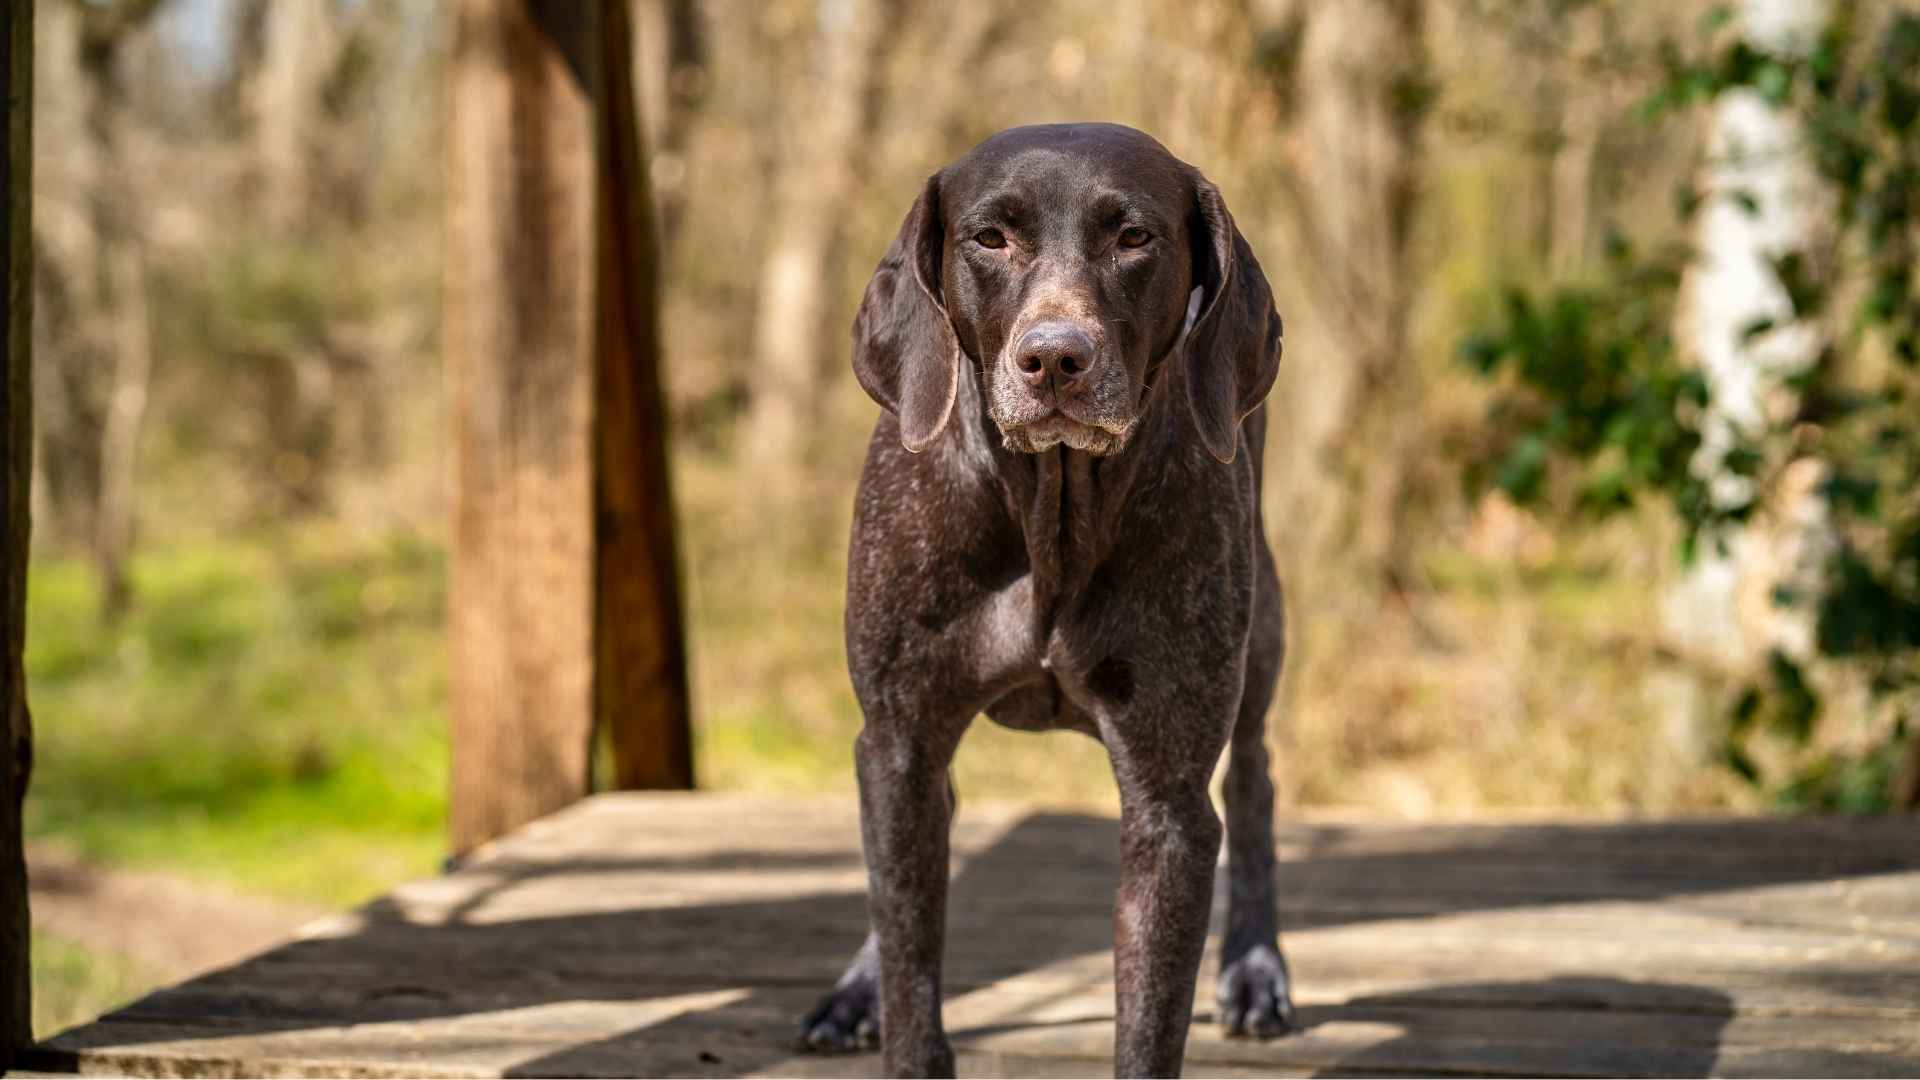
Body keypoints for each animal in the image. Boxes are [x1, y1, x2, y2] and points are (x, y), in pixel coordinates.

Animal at [794, 122, 1290, 1068]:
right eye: (991, 237)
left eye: (1133, 237)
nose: (1055, 357)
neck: (1051, 510)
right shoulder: (901, 739)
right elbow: (912, 969)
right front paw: (885, 999)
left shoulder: (1168, 800)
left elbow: (1148, 1023)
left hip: (1264, 636)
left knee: (1254, 778)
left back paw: (1255, 967)